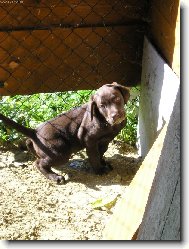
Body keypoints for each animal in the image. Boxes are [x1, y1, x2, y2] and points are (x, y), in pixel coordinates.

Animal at [0, 82, 130, 182]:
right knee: (38, 163)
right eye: (102, 106)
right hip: (60, 152)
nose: (116, 115)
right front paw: (99, 170)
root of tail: (35, 132)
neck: (106, 123)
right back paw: (55, 177)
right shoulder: (89, 139)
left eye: (117, 99)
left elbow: (101, 152)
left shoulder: (105, 141)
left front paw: (103, 163)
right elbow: (94, 156)